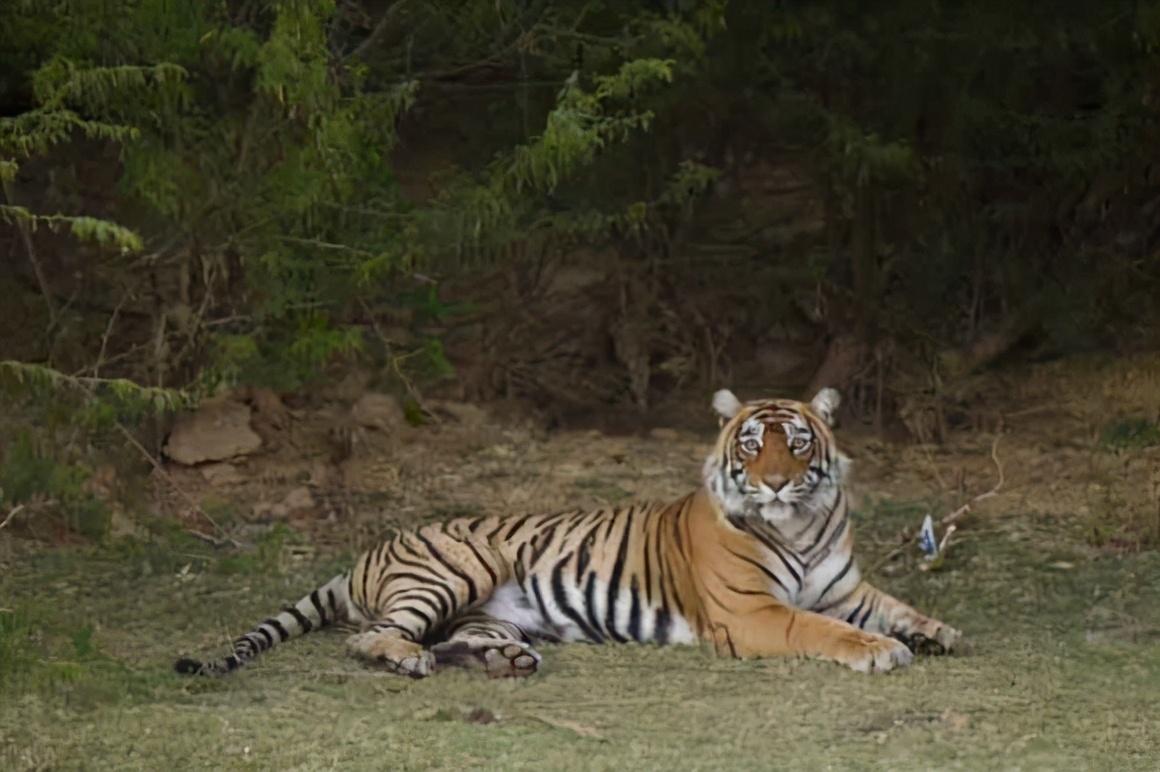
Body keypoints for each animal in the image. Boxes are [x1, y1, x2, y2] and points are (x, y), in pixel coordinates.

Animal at [175, 387, 961, 679]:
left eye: (796, 444)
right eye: (750, 446)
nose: (770, 483)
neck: (798, 526)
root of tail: (367, 550)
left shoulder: (845, 588)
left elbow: (894, 605)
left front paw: (937, 631)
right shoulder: (753, 613)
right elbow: (824, 630)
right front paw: (881, 651)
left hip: (485, 612)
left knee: (460, 638)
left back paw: (508, 662)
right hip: (455, 569)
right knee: (370, 636)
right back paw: (408, 661)